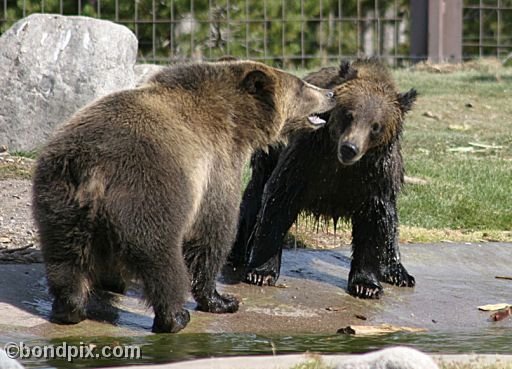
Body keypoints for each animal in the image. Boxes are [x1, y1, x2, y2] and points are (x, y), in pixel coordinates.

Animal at [33, 59, 336, 330]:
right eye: (302, 86)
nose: (331, 94)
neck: (238, 121)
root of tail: (94, 169)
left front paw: (110, 281)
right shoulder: (217, 165)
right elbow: (212, 232)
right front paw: (222, 300)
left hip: (59, 198)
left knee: (65, 257)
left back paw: (69, 307)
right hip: (148, 192)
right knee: (161, 257)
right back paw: (175, 317)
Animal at [227, 58, 416, 300]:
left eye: (376, 126)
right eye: (349, 115)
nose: (349, 148)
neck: (341, 165)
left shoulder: (376, 176)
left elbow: (375, 223)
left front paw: (366, 285)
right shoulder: (306, 157)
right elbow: (278, 201)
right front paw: (261, 272)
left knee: (391, 223)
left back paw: (399, 272)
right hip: (269, 156)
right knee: (253, 200)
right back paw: (237, 253)